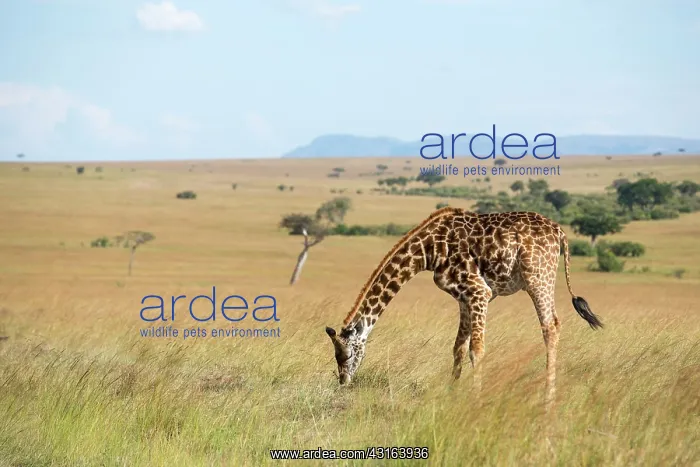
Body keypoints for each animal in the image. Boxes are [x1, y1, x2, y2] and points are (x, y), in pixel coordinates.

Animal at [325, 207, 603, 408]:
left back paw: (549, 396)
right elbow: (458, 348)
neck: (428, 251)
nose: (343, 381)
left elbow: (476, 349)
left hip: (538, 277)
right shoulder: (464, 297)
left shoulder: (480, 291)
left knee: (550, 326)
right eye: (336, 356)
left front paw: (476, 399)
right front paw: (452, 394)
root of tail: (559, 232)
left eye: (346, 355)